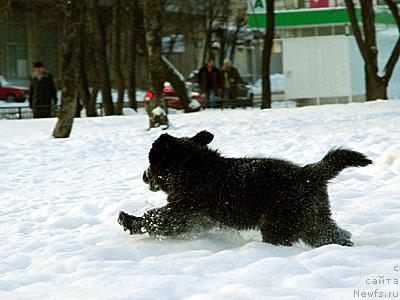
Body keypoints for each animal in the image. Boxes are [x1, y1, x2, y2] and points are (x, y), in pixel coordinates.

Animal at [119, 130, 372, 247]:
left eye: (152, 161)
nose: (143, 176)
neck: (190, 166)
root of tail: (308, 173)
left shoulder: (184, 211)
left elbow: (155, 218)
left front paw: (129, 220)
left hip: (281, 222)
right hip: (314, 220)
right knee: (334, 234)